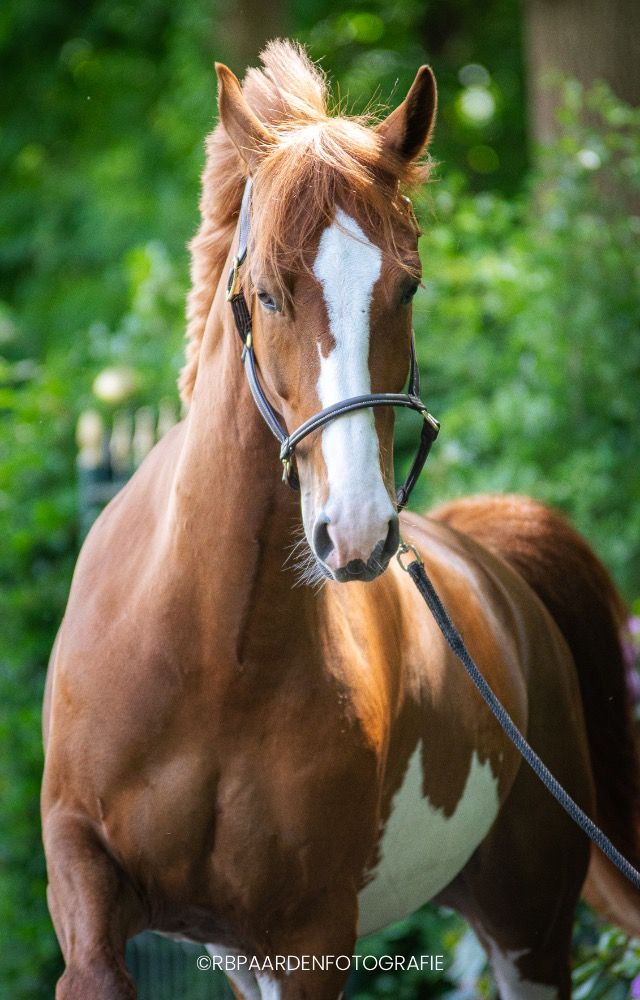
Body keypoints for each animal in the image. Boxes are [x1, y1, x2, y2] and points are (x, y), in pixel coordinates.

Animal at [42, 40, 640, 1000]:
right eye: (268, 294)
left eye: (408, 289)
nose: (356, 532)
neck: (209, 651)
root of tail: (497, 571)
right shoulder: (94, 896)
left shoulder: (310, 936)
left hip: (529, 930)